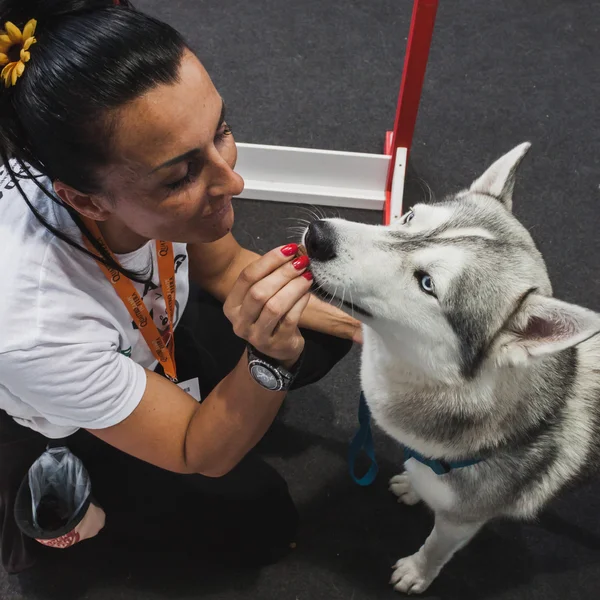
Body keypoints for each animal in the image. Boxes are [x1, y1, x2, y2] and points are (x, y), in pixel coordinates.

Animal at [302, 143, 600, 592]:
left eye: (427, 283)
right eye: (408, 217)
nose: (318, 236)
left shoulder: (462, 521)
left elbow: (437, 547)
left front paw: (417, 572)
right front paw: (413, 484)